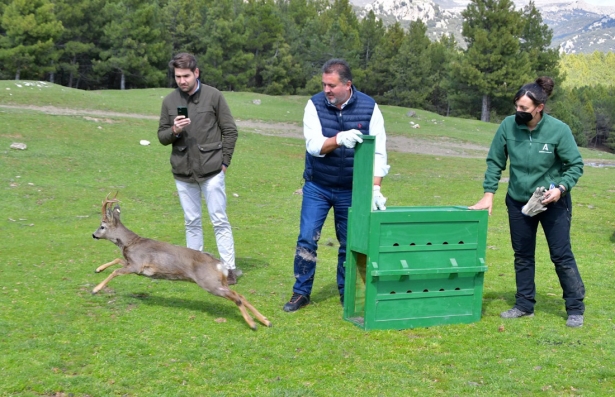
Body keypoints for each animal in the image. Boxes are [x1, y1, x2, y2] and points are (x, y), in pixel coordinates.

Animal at [91, 193, 270, 330]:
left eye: (102, 226)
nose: (93, 235)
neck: (130, 243)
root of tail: (220, 265)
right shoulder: (133, 264)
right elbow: (117, 260)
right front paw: (98, 269)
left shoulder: (137, 265)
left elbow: (116, 271)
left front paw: (95, 289)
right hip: (219, 282)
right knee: (240, 295)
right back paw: (266, 321)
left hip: (209, 283)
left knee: (236, 297)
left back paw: (253, 324)